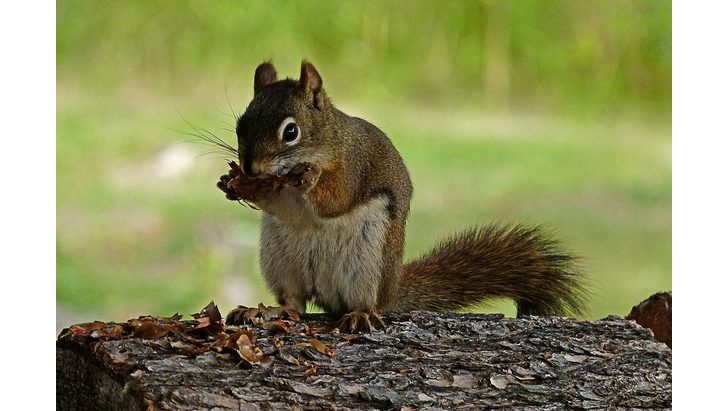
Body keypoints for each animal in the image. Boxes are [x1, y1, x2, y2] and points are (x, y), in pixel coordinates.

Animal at [215, 60, 587, 332]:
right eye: (240, 125)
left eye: (290, 132)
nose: (249, 167)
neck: (327, 142)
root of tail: (393, 289)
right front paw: (229, 183)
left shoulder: (354, 165)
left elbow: (336, 199)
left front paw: (309, 178)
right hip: (280, 259)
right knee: (293, 303)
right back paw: (265, 311)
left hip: (370, 262)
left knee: (366, 303)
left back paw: (360, 314)